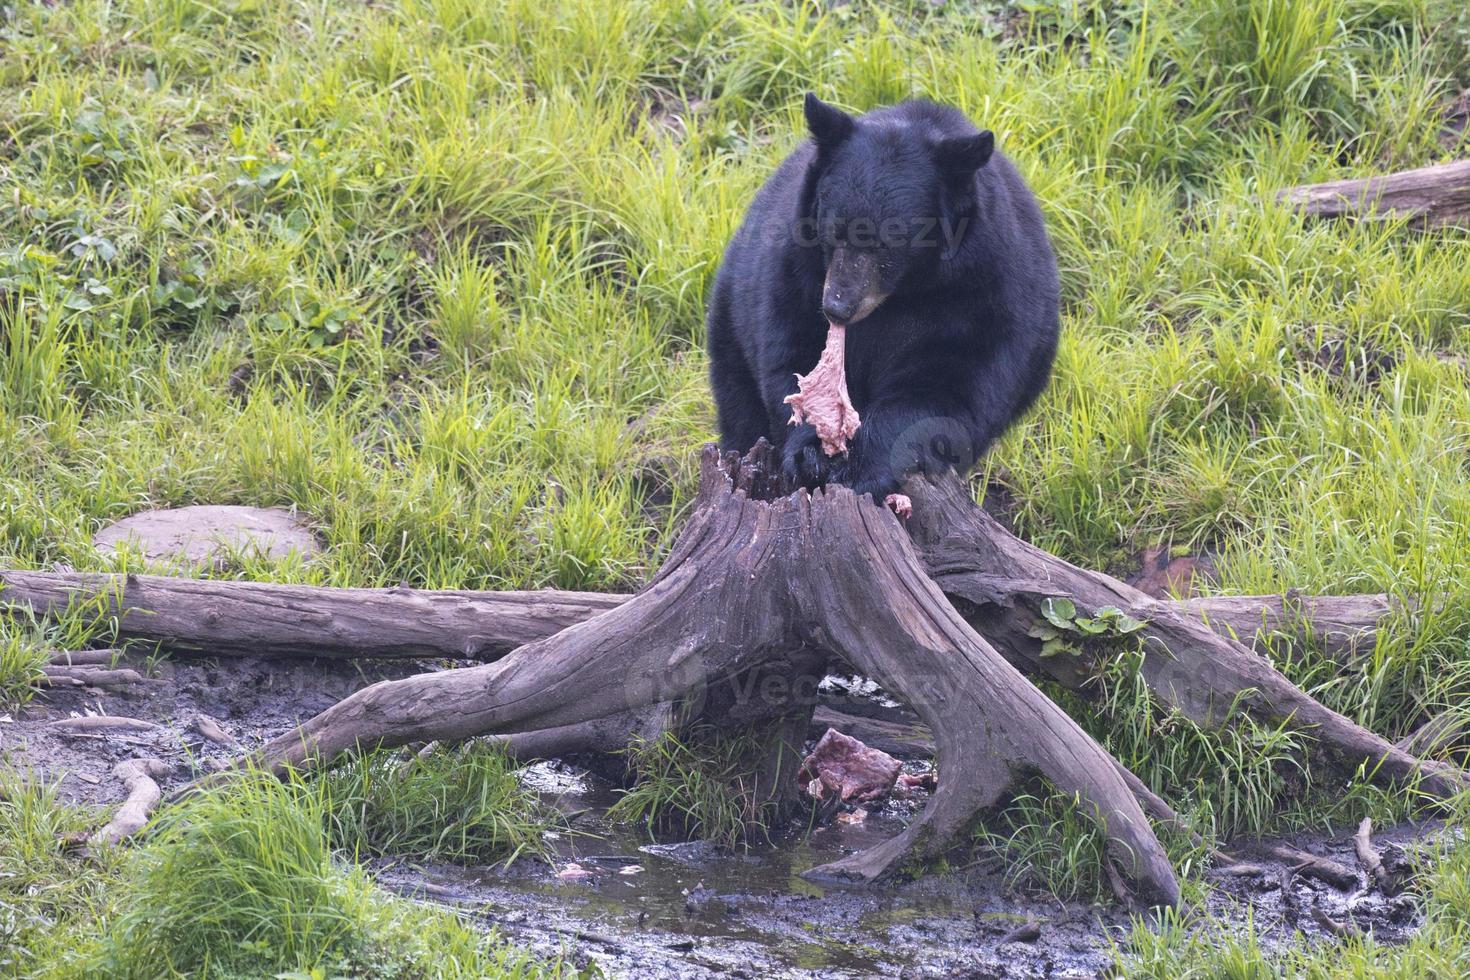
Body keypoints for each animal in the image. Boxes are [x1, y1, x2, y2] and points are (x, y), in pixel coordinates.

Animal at [708, 94, 1064, 499]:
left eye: (889, 243)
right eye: (833, 230)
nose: (837, 308)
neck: (905, 293)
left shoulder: (982, 292)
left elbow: (945, 384)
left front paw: (861, 468)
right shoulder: (797, 268)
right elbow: (792, 349)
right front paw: (811, 451)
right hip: (730, 318)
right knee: (739, 404)